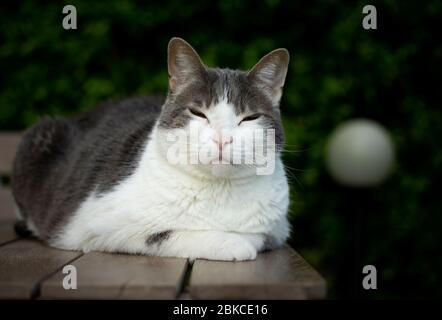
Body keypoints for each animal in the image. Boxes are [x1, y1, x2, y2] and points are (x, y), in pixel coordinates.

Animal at [11, 38, 290, 262]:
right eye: (198, 113)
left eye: (249, 118)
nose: (222, 139)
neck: (221, 190)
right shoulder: (98, 224)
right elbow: (167, 233)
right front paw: (232, 242)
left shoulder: (278, 227)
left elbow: (263, 235)